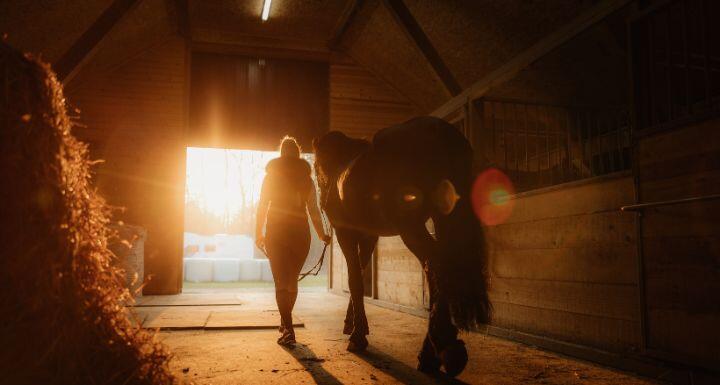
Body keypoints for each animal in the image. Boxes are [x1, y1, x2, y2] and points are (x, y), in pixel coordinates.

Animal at [312, 116, 492, 376]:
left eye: (315, 170)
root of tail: (438, 130)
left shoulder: (347, 234)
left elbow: (354, 280)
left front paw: (357, 336)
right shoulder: (369, 236)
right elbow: (360, 275)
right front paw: (353, 324)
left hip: (411, 227)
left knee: (434, 264)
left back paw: (440, 348)